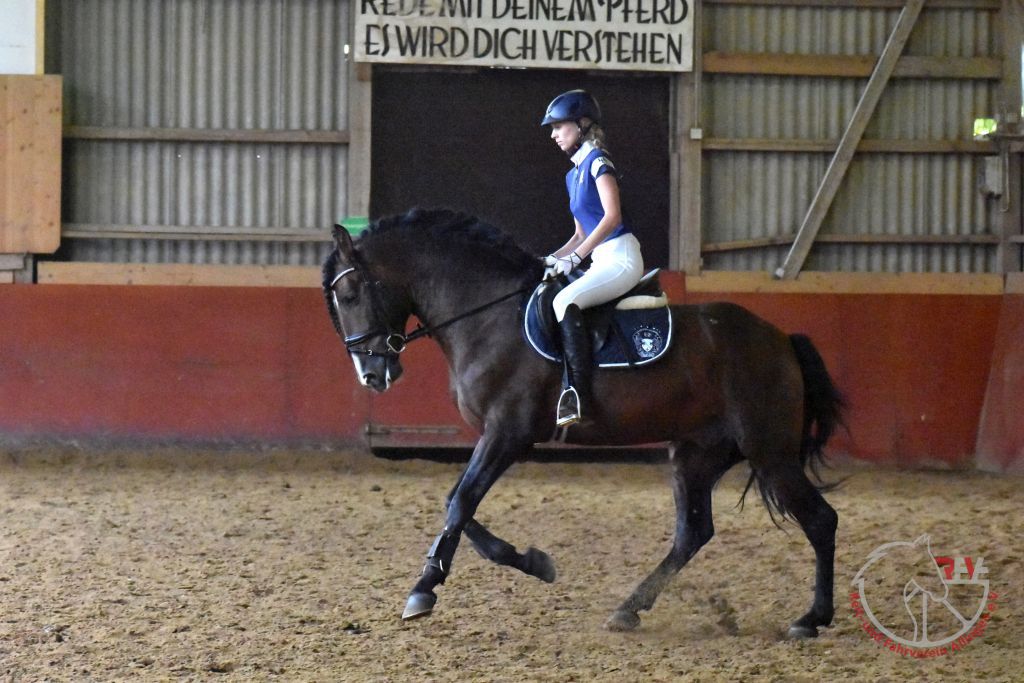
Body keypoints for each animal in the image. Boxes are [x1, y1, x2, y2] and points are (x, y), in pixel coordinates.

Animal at [322, 208, 845, 638]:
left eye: (350, 293)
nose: (371, 375)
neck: (488, 313)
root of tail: (781, 339)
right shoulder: (497, 437)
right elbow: (457, 504)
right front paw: (533, 562)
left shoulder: (507, 434)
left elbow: (461, 502)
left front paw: (424, 589)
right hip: (697, 453)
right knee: (692, 533)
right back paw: (629, 609)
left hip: (769, 450)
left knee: (821, 520)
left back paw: (811, 618)